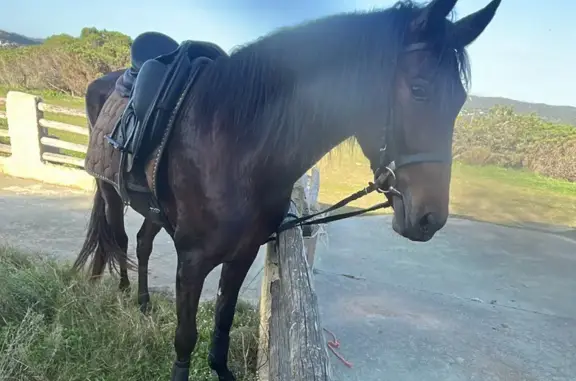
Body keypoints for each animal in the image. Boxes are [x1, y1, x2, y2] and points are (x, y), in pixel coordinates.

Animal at [72, 0, 502, 378]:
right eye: (419, 89)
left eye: (460, 100)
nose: (430, 217)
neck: (233, 142)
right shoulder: (192, 260)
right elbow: (185, 337)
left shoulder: (243, 253)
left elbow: (223, 322)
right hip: (110, 191)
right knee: (120, 238)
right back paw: (121, 292)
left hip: (156, 211)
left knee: (143, 241)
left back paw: (143, 303)